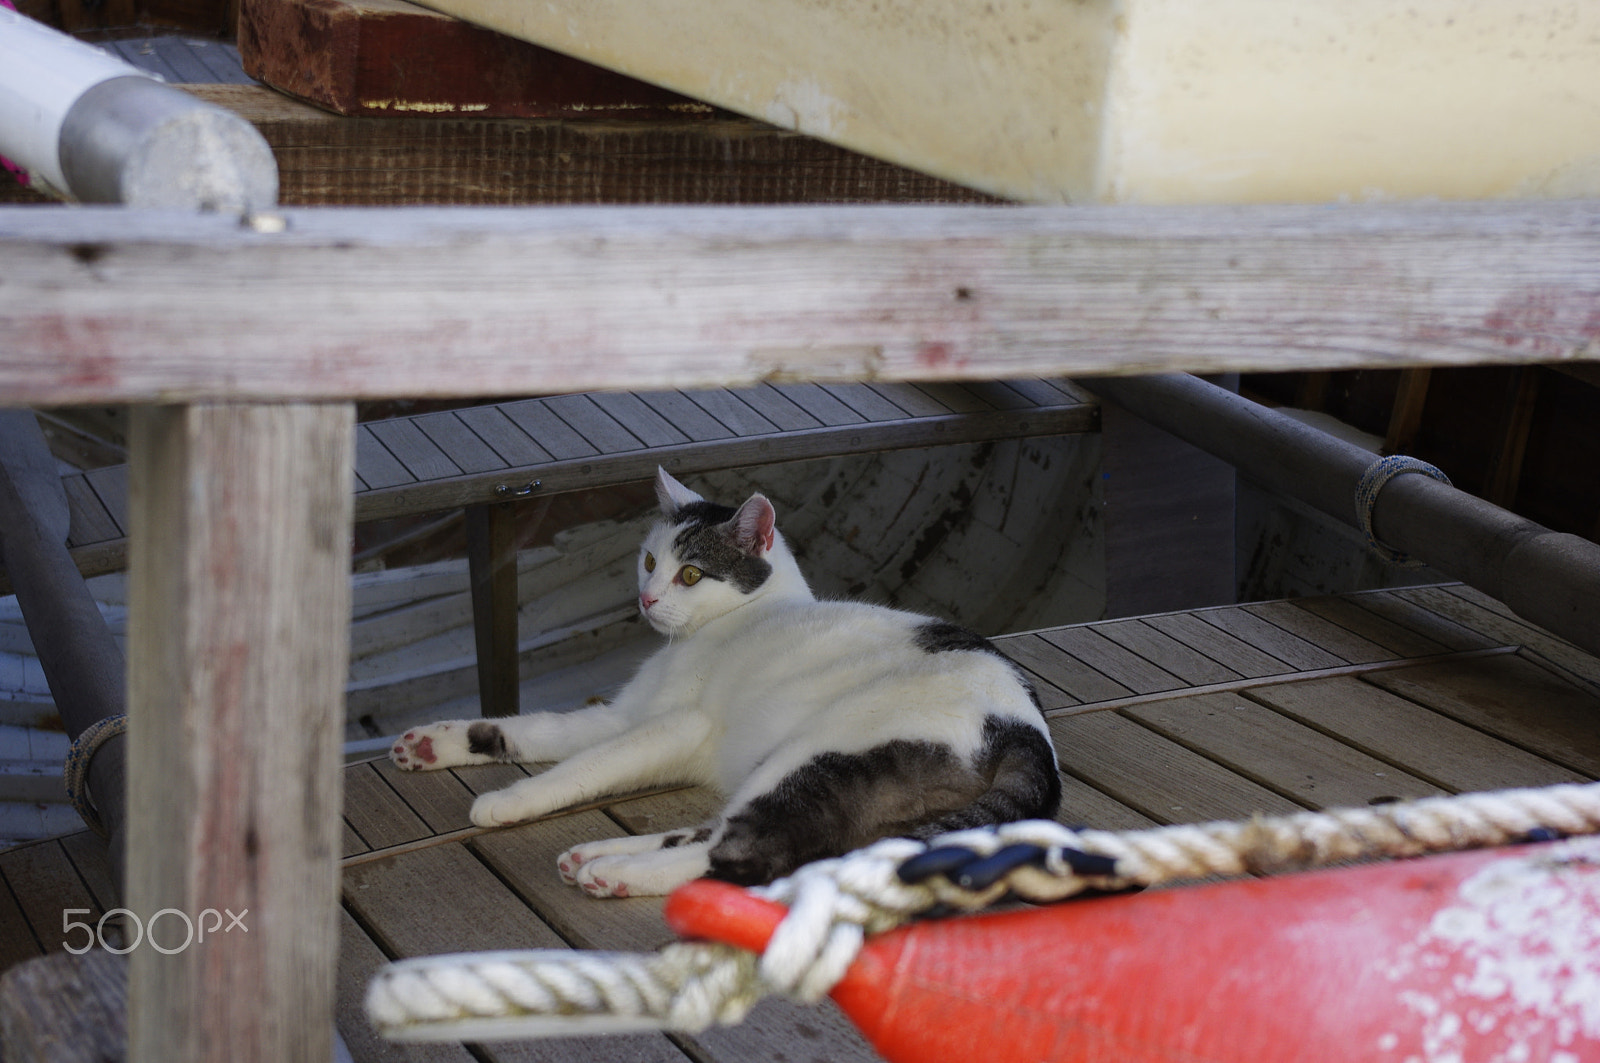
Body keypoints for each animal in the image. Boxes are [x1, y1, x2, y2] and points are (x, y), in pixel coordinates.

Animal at [388, 470, 1062, 890]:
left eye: (691, 574)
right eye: (650, 561)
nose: (647, 598)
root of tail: (1027, 730)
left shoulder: (675, 725)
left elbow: (580, 766)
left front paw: (508, 800)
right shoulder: (621, 715)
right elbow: (537, 730)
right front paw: (435, 744)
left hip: (818, 752)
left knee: (750, 851)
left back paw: (619, 873)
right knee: (729, 831)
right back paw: (595, 855)